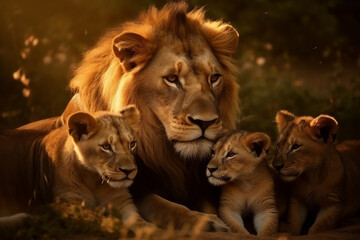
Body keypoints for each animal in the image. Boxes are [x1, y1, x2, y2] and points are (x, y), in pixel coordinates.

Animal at [20, 2, 239, 231]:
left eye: (214, 78)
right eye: (172, 79)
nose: (206, 122)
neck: (166, 153)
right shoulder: (134, 191)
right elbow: (169, 207)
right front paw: (207, 222)